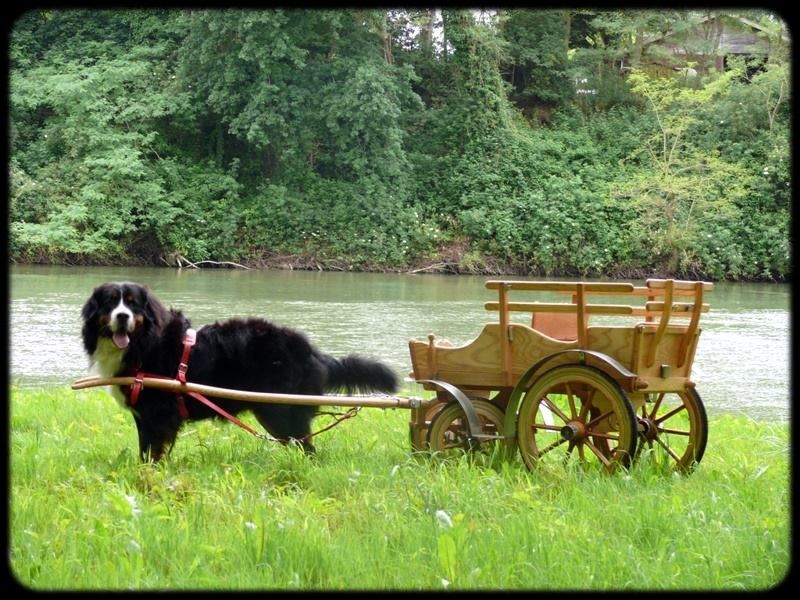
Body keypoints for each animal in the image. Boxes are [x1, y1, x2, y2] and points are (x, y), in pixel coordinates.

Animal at [79, 284, 398, 462]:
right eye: (111, 302)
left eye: (133, 304)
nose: (122, 316)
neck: (144, 343)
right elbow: (144, 451)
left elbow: (153, 454)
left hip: (280, 412)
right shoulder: (144, 416)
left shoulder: (159, 416)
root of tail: (314, 352)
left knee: (305, 448)